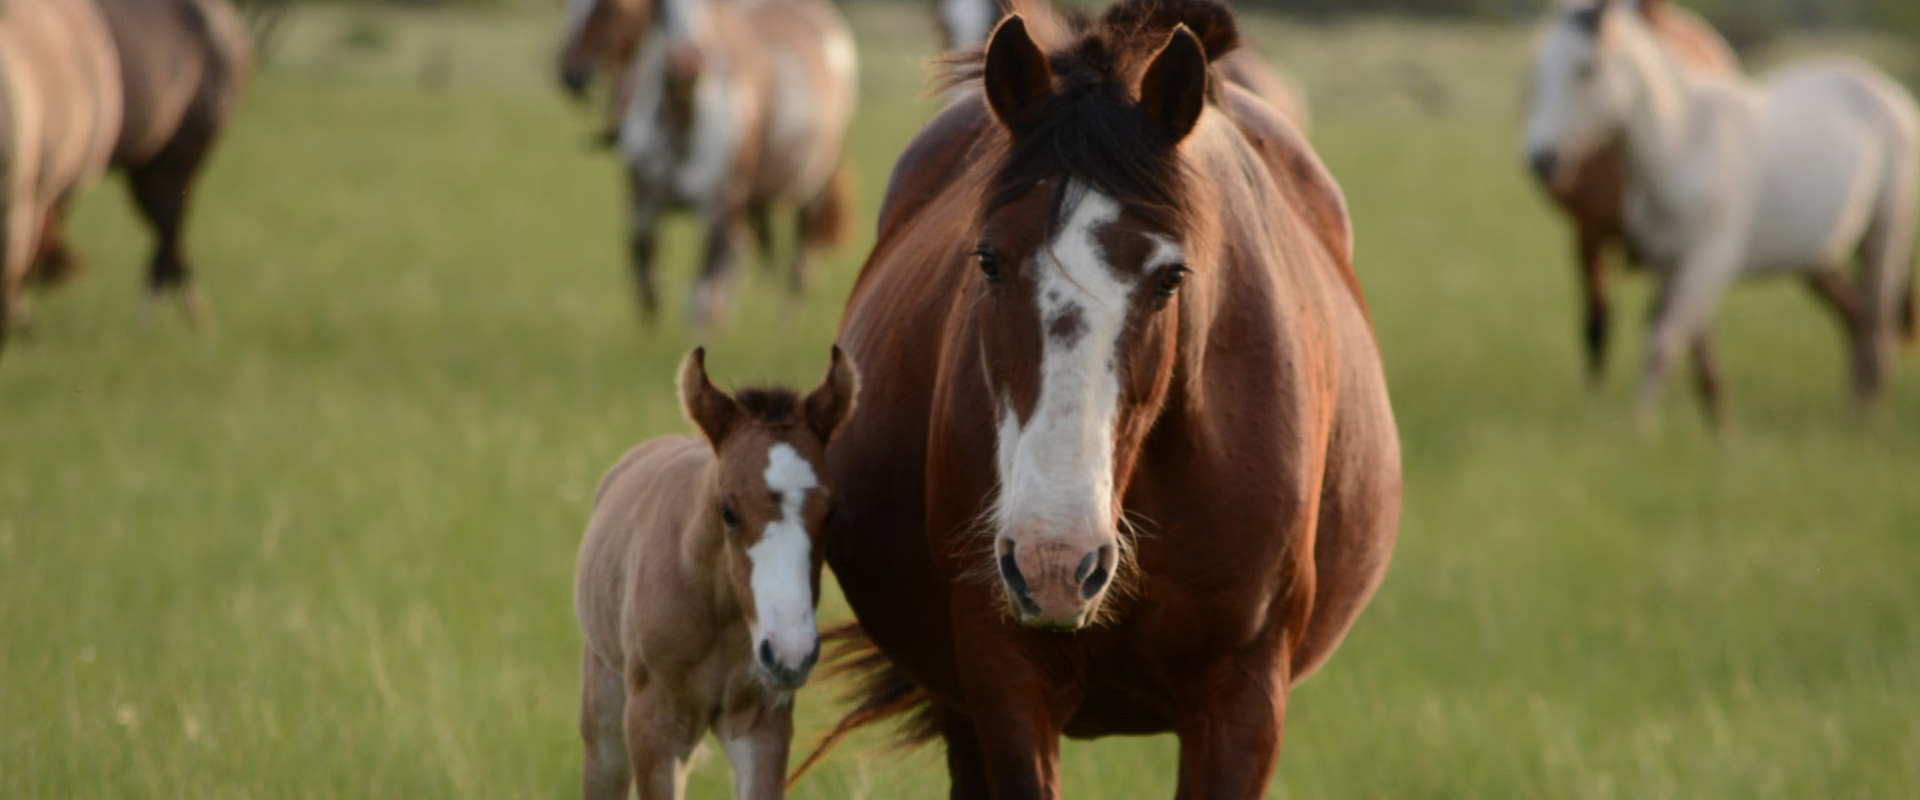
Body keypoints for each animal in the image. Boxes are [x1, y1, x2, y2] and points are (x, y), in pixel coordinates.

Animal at [572, 347, 860, 798]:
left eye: (831, 512)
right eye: (728, 510)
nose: (790, 653)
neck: (717, 607)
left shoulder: (762, 722)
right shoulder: (654, 727)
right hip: (604, 719)